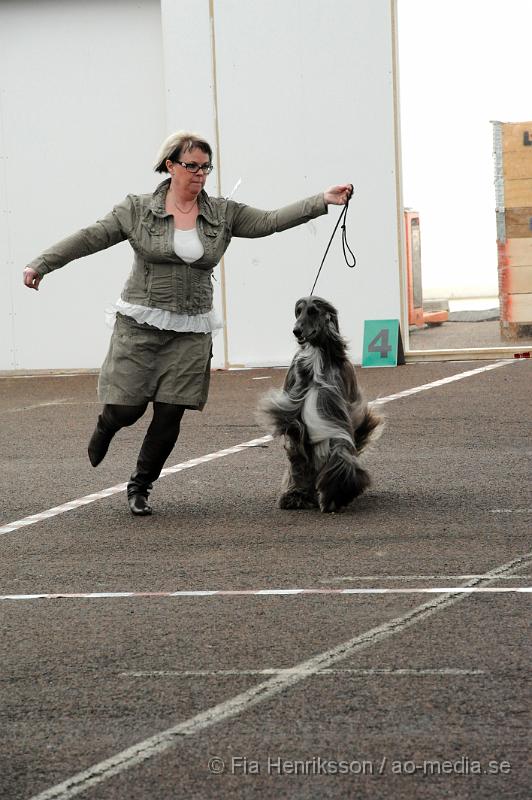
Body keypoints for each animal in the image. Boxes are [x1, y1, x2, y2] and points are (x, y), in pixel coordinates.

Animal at [258, 298, 382, 512]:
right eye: (298, 311)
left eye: (313, 311)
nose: (296, 331)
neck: (315, 358)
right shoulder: (297, 416)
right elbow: (298, 456)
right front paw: (297, 494)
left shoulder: (333, 414)